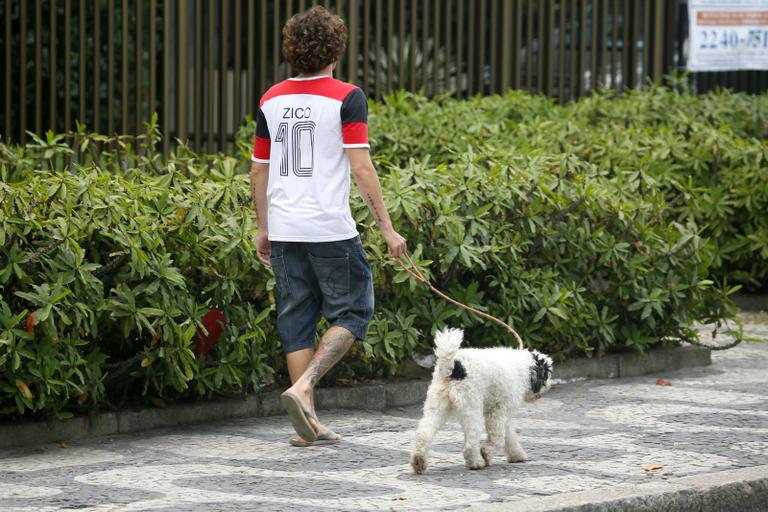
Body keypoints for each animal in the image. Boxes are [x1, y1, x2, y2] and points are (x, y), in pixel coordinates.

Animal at [408, 328, 552, 472]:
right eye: (546, 374)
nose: (549, 385)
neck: (523, 368)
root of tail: (454, 368)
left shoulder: (503, 414)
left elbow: (508, 436)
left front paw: (517, 455)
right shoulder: (498, 412)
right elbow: (498, 437)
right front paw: (486, 453)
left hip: (437, 406)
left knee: (424, 433)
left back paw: (418, 460)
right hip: (471, 409)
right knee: (471, 443)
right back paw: (476, 462)